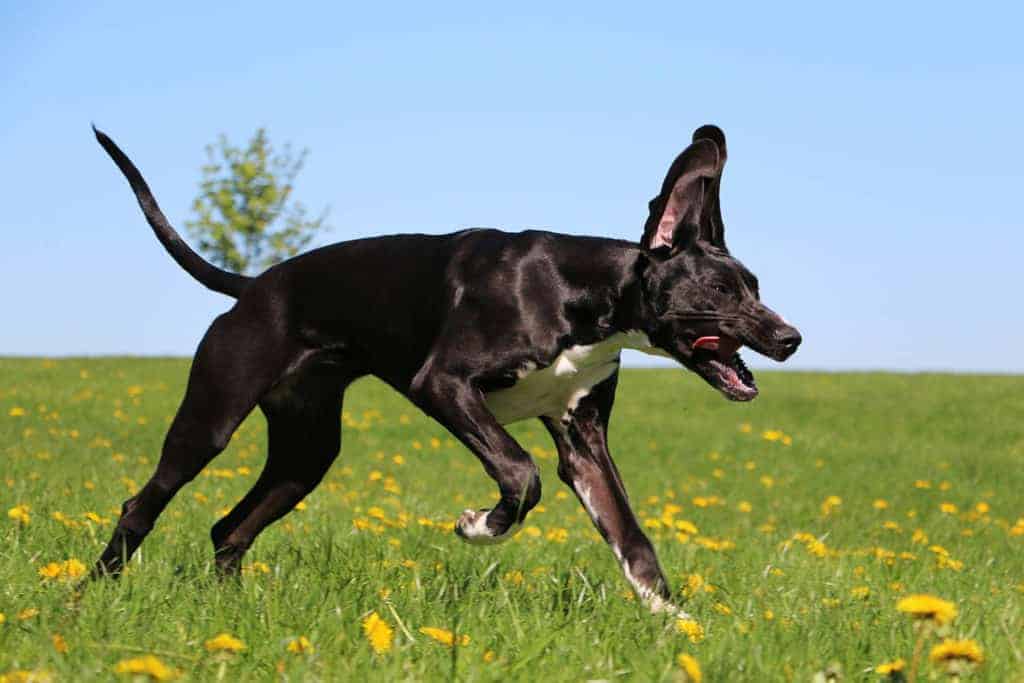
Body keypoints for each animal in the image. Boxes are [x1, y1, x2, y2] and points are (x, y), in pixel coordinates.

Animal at [92, 124, 798, 614]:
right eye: (722, 292)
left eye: (756, 286)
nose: (791, 338)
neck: (581, 295)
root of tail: (254, 286)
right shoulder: (445, 384)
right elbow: (520, 472)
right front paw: (481, 527)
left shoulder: (584, 444)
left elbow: (632, 540)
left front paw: (675, 623)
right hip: (212, 416)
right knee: (142, 503)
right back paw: (91, 595)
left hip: (306, 453)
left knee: (228, 528)